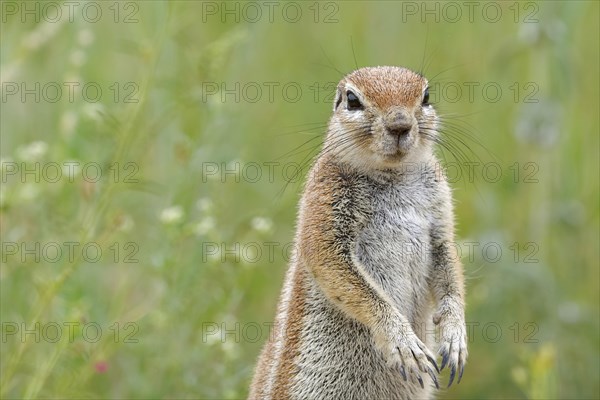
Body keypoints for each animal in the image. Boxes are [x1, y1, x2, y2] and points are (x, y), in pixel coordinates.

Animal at [248, 66, 468, 400]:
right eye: (352, 100)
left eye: (426, 96)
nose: (400, 124)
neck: (393, 175)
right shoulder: (324, 204)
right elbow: (346, 277)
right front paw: (403, 342)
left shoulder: (440, 214)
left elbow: (449, 267)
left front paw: (455, 338)